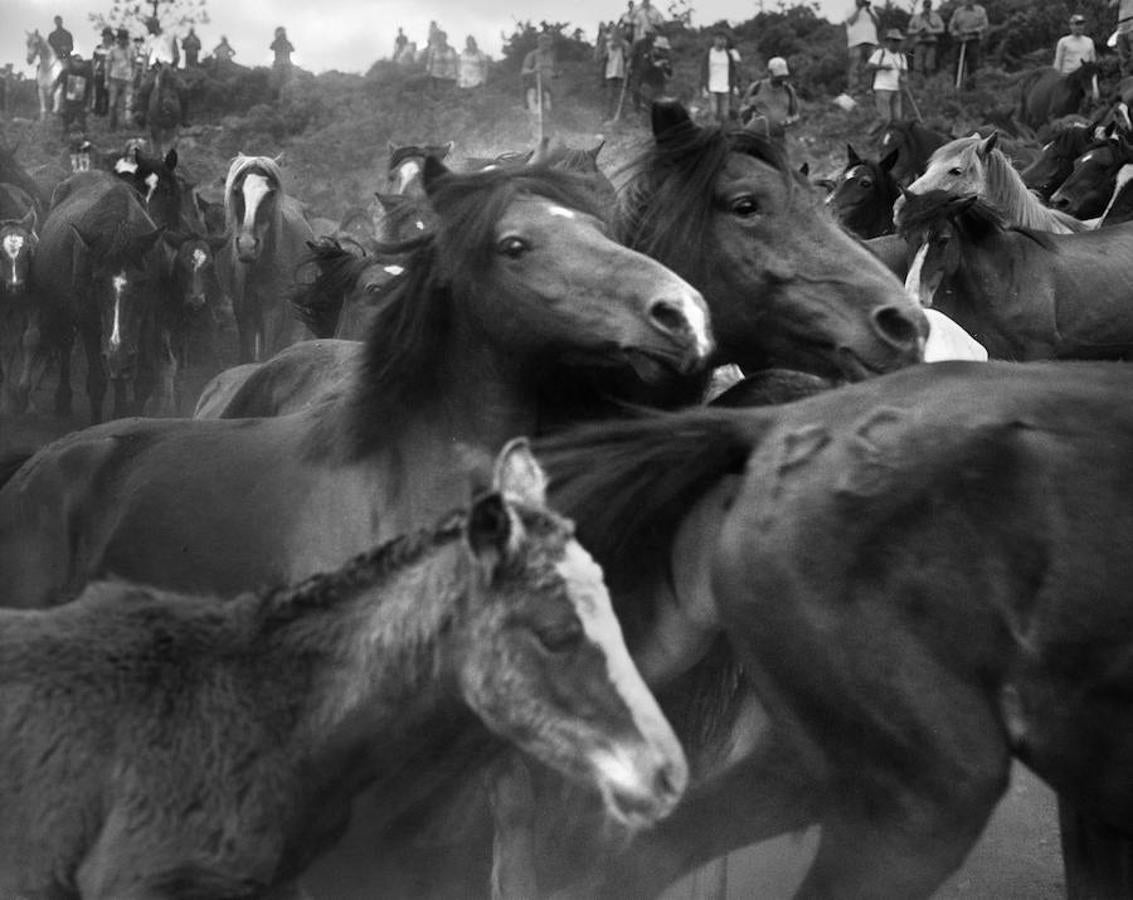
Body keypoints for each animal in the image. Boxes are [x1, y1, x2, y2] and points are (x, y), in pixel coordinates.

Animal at [216, 154, 317, 360]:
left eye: (270, 193)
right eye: (237, 190)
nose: (247, 246)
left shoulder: (273, 309)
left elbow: (267, 353)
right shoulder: (243, 310)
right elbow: (247, 354)